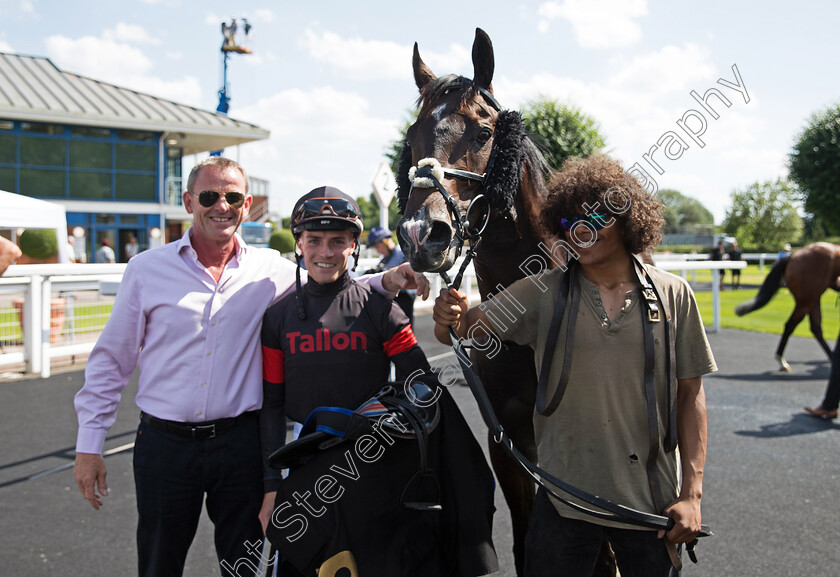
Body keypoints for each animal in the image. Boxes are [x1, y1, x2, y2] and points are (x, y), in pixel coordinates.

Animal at [736, 241, 840, 372]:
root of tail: (792, 256)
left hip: (813, 298)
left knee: (815, 327)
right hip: (806, 300)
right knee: (791, 325)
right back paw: (782, 361)